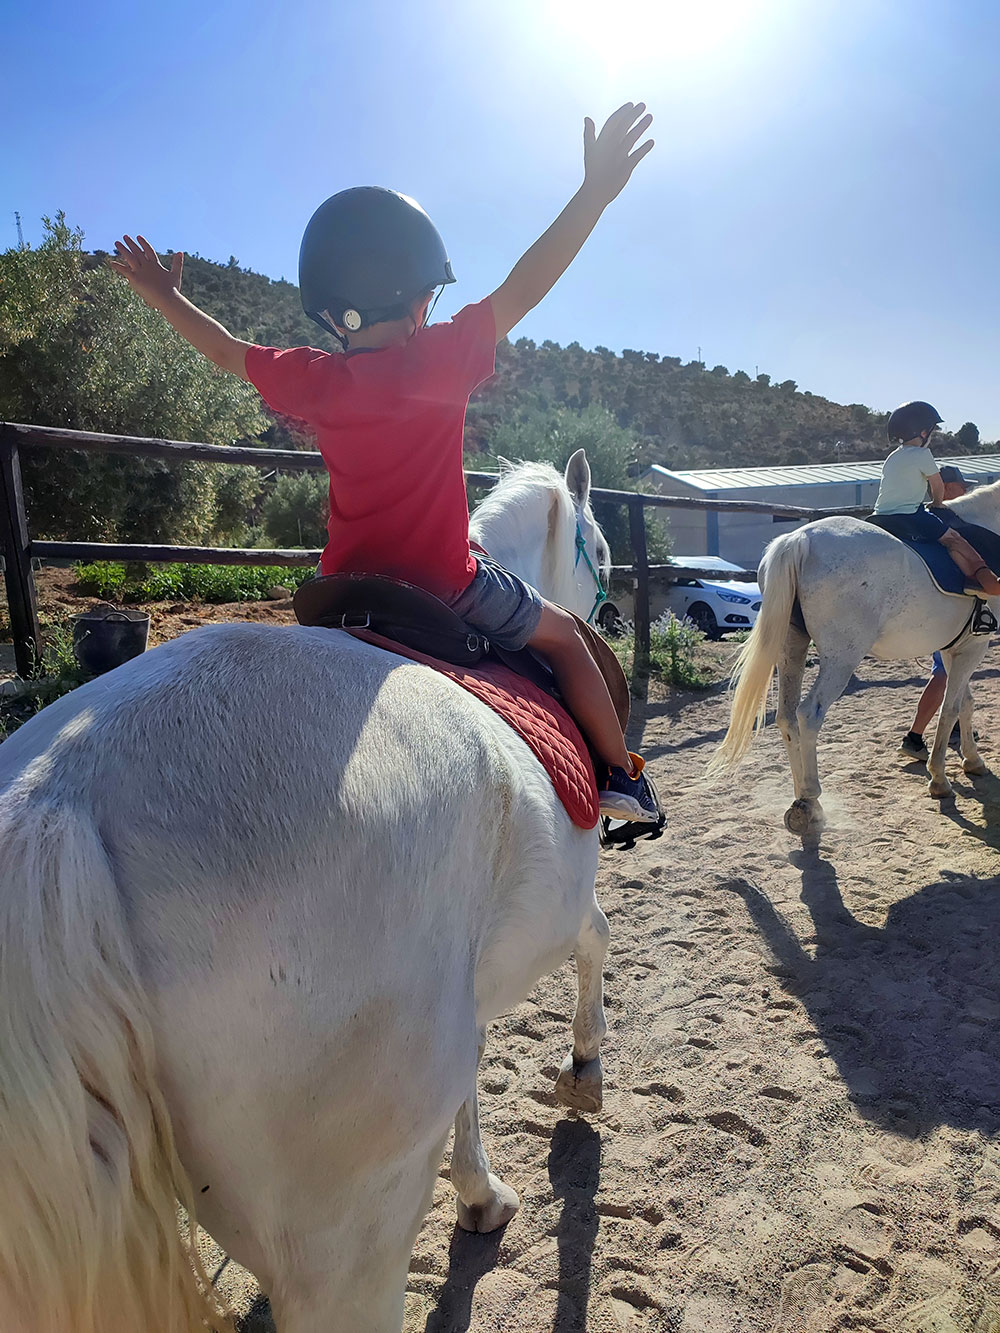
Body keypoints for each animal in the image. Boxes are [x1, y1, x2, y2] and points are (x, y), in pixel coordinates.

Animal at [0, 450, 616, 1333]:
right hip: (344, 1247)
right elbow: (597, 937)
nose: (606, 613)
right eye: (598, 548)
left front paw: (479, 1194)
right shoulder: (566, 901)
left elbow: (470, 1072)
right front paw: (585, 1067)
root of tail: (61, 795)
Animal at [714, 479, 1000, 831]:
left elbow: (965, 704)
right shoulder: (974, 645)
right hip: (842, 659)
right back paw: (809, 797)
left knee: (787, 717)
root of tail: (799, 540)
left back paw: (802, 797)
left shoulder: (954, 647)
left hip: (791, 649)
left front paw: (973, 760)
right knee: (809, 713)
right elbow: (951, 708)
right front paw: (939, 779)